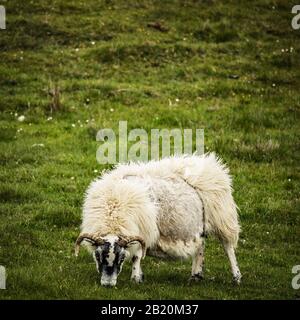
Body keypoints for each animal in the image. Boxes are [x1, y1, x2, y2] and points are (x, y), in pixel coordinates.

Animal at [75, 153, 241, 288]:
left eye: (121, 258)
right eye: (98, 256)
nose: (107, 284)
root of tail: (209, 164)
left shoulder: (143, 230)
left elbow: (136, 256)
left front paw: (135, 278)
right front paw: (139, 276)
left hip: (222, 217)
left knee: (228, 247)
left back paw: (236, 277)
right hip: (198, 225)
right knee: (200, 246)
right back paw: (196, 276)